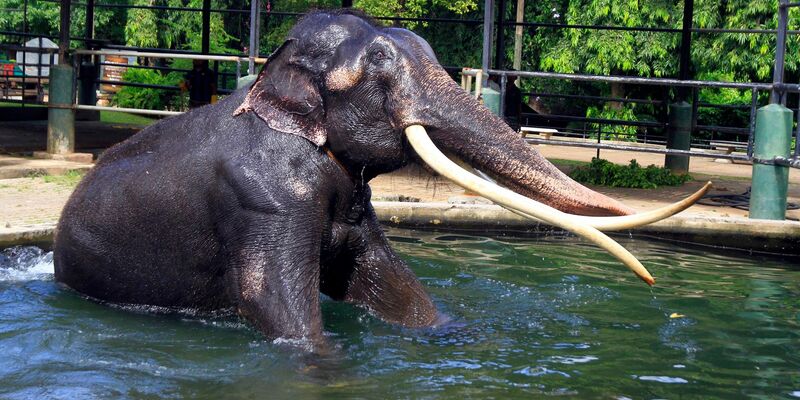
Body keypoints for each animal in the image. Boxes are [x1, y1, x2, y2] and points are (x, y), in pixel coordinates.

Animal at [54, 9, 707, 348]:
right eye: (381, 70)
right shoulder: (261, 200)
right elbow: (270, 300)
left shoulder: (354, 207)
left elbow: (396, 289)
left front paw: (457, 337)